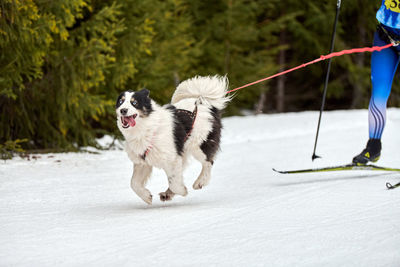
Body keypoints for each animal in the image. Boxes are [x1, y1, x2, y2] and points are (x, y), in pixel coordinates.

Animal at [115, 76, 231, 205]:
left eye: (134, 103)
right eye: (120, 102)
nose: (123, 110)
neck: (147, 128)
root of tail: (203, 103)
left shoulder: (172, 158)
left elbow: (174, 182)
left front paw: (182, 191)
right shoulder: (143, 162)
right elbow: (133, 183)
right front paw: (146, 196)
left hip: (198, 144)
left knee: (208, 162)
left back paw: (199, 182)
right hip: (184, 150)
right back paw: (167, 194)